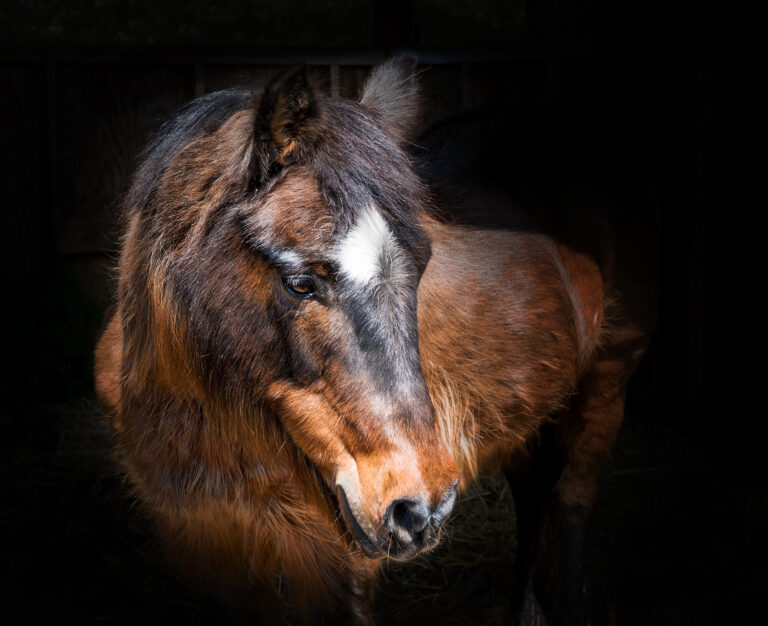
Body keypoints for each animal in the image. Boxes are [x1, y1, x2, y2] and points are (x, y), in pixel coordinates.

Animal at [94, 57, 655, 625]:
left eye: (422, 266)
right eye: (300, 282)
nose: (422, 509)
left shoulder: (332, 566)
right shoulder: (205, 550)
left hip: (606, 381)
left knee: (571, 502)